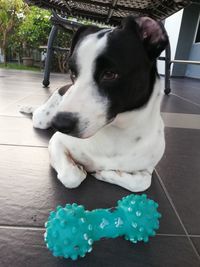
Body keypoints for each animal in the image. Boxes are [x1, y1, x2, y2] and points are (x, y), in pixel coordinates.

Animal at [21, 16, 169, 193]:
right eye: (72, 72)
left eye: (110, 74)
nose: (59, 124)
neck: (116, 134)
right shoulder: (57, 141)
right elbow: (71, 177)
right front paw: (79, 169)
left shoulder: (147, 169)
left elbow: (140, 184)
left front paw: (104, 173)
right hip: (43, 119)